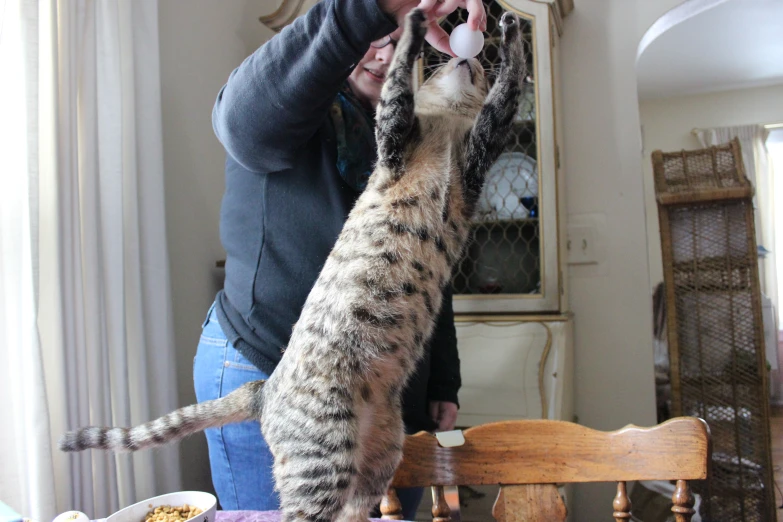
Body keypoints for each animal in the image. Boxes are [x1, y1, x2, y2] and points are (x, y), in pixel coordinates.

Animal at [61, 9, 524, 520]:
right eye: (446, 65)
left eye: (475, 68)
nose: (468, 56)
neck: (444, 129)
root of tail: (264, 391)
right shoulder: (395, 138)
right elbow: (400, 88)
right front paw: (416, 27)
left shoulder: (479, 153)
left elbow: (504, 95)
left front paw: (508, 35)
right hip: (324, 458)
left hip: (380, 454)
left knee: (354, 507)